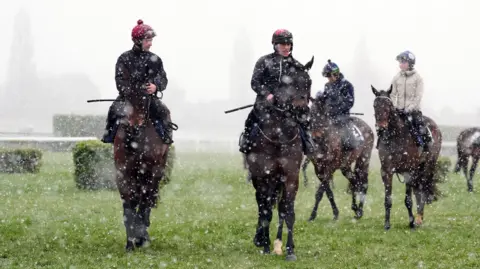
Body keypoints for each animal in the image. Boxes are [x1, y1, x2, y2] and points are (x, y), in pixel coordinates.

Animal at [113, 90, 172, 251]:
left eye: (144, 99)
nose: (132, 129)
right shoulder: (123, 173)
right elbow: (129, 207)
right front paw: (130, 244)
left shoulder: (151, 172)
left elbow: (145, 203)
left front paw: (141, 239)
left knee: (148, 201)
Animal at [244, 56, 316, 260]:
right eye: (290, 83)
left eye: (308, 82)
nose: (302, 113)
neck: (279, 135)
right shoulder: (264, 176)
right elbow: (266, 210)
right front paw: (266, 245)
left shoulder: (291, 176)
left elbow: (287, 211)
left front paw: (289, 249)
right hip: (259, 179)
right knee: (261, 204)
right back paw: (261, 239)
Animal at [372, 85, 442, 229]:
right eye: (375, 105)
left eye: (389, 105)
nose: (381, 127)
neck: (395, 137)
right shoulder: (386, 171)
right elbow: (388, 198)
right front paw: (387, 223)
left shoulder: (409, 170)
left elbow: (408, 199)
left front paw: (411, 222)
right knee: (418, 190)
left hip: (428, 166)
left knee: (423, 188)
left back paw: (419, 219)